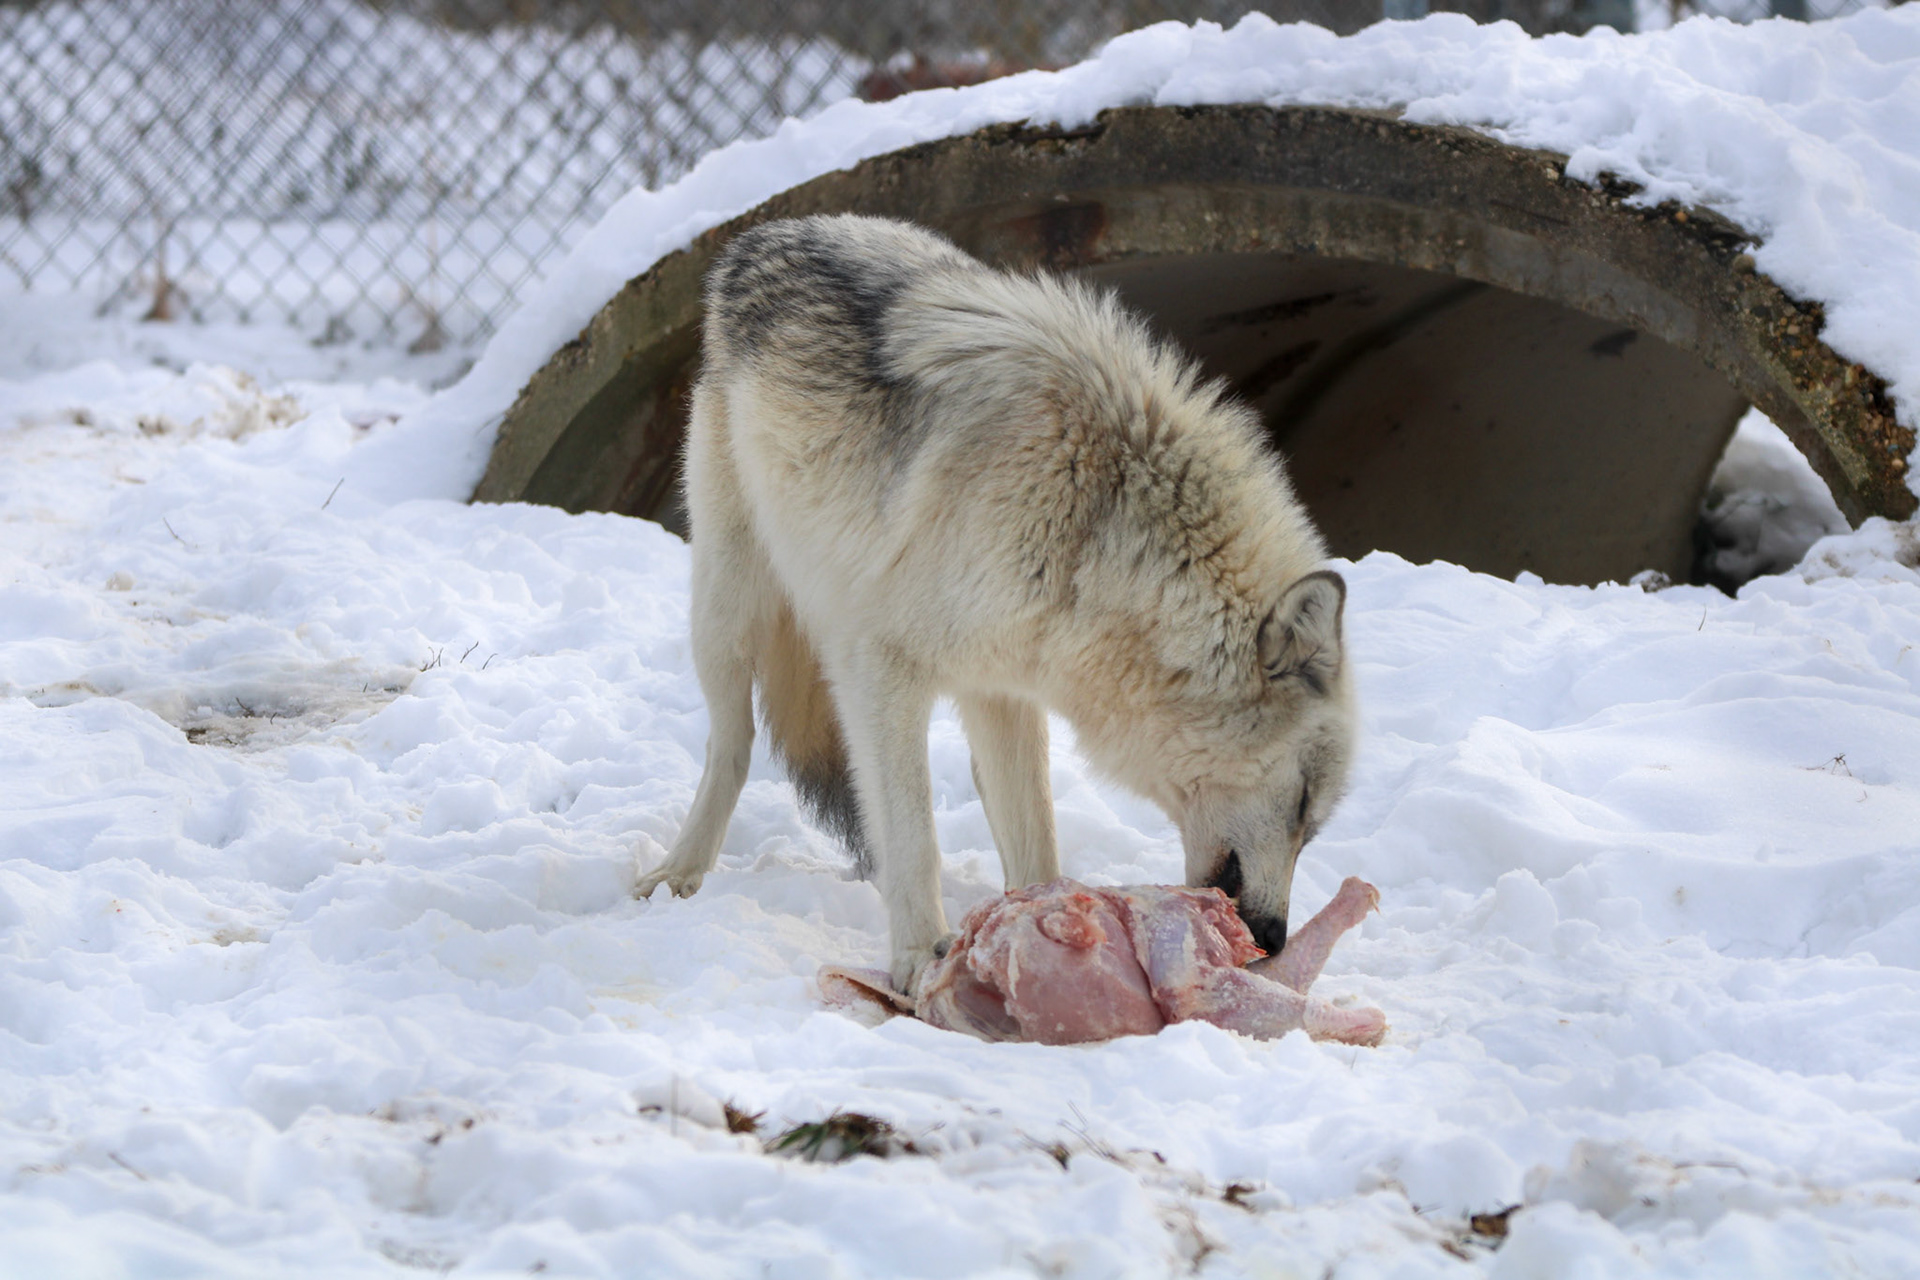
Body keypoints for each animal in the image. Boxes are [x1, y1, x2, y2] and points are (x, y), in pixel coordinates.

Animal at [636, 214, 1356, 992]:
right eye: (1304, 806)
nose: (1275, 938)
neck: (1094, 522)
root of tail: (767, 232)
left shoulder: (1003, 689)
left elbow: (1034, 835)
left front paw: (1042, 938)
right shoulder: (880, 668)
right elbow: (913, 835)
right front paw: (919, 960)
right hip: (727, 611)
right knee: (732, 746)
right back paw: (678, 874)